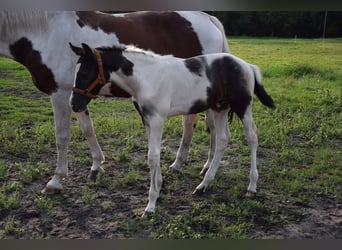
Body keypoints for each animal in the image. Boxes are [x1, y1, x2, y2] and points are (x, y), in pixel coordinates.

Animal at [0, 11, 230, 193]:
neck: (46, 33)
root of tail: (207, 18)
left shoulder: (61, 94)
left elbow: (61, 137)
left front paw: (55, 181)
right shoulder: (78, 95)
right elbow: (88, 129)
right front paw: (96, 167)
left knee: (207, 125)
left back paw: (204, 167)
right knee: (196, 124)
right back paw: (184, 164)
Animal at [70, 43, 276, 215]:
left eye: (86, 71)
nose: (74, 104)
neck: (147, 78)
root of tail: (247, 65)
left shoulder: (157, 119)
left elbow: (152, 157)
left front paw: (151, 205)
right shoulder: (147, 120)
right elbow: (153, 156)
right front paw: (157, 189)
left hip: (243, 106)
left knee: (251, 136)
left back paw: (251, 186)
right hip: (220, 107)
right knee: (223, 139)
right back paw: (203, 185)